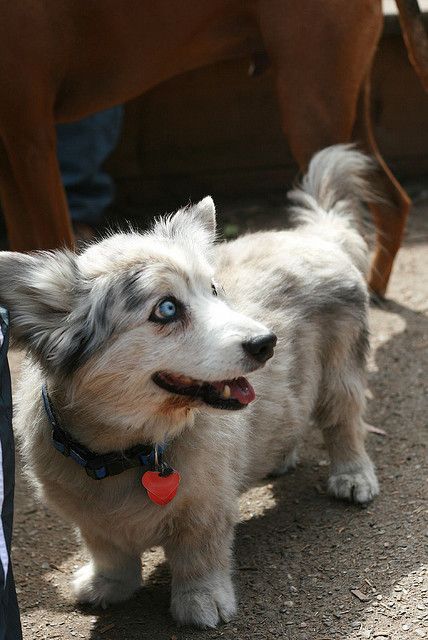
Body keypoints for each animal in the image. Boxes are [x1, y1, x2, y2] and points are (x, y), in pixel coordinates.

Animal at [2, 144, 378, 624]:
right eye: (166, 309)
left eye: (213, 290)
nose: (267, 343)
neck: (129, 450)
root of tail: (317, 235)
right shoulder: (91, 520)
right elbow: (108, 552)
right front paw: (108, 585)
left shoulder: (206, 509)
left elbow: (199, 556)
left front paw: (201, 601)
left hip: (340, 377)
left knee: (344, 425)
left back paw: (353, 476)